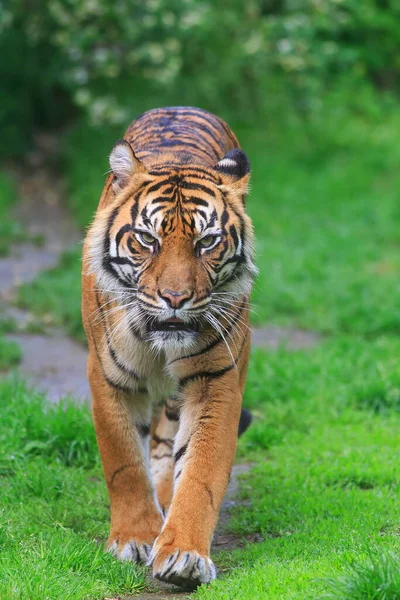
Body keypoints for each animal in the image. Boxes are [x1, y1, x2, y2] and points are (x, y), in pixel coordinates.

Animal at [81, 105, 256, 588]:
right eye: (148, 239)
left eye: (207, 241)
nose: (175, 298)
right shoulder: (109, 376)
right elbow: (123, 462)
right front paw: (133, 539)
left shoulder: (216, 378)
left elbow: (200, 472)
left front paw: (184, 555)